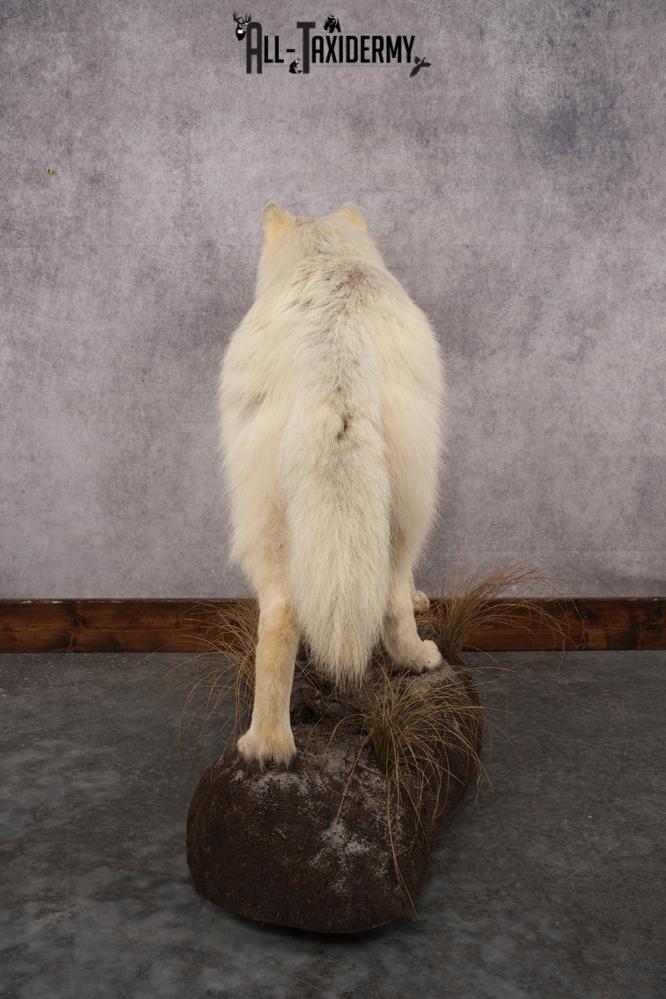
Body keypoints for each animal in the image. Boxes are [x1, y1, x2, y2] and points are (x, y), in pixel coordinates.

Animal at [217, 203, 447, 765]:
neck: (328, 257)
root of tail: (337, 340)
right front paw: (421, 606)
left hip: (273, 518)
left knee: (281, 615)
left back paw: (267, 748)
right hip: (410, 505)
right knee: (389, 593)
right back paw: (419, 659)